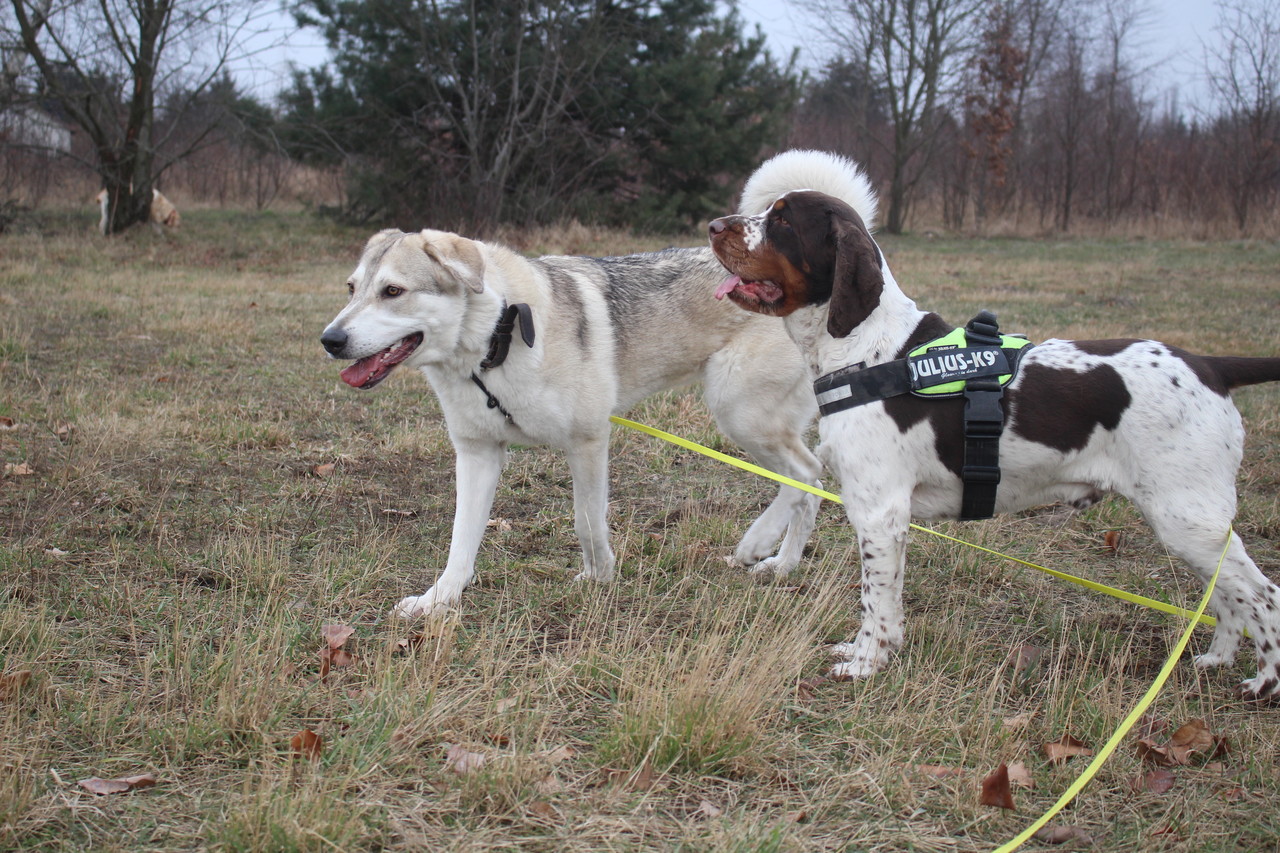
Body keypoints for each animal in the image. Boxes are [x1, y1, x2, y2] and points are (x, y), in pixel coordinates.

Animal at [319, 151, 875, 618]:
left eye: (394, 292)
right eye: (351, 289)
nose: (330, 340)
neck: (492, 344)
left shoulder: (587, 441)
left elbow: (586, 522)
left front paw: (599, 577)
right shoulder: (477, 454)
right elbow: (461, 544)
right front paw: (438, 601)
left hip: (740, 413)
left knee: (807, 474)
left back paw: (762, 547)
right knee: (806, 483)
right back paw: (780, 561)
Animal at [708, 152, 1280, 698]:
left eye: (782, 221)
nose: (714, 225)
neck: (868, 350)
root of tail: (1211, 365)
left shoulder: (880, 512)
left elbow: (877, 602)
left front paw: (865, 663)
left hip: (1187, 518)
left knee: (1263, 594)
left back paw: (1263, 683)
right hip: (1192, 527)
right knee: (1228, 596)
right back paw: (1215, 660)